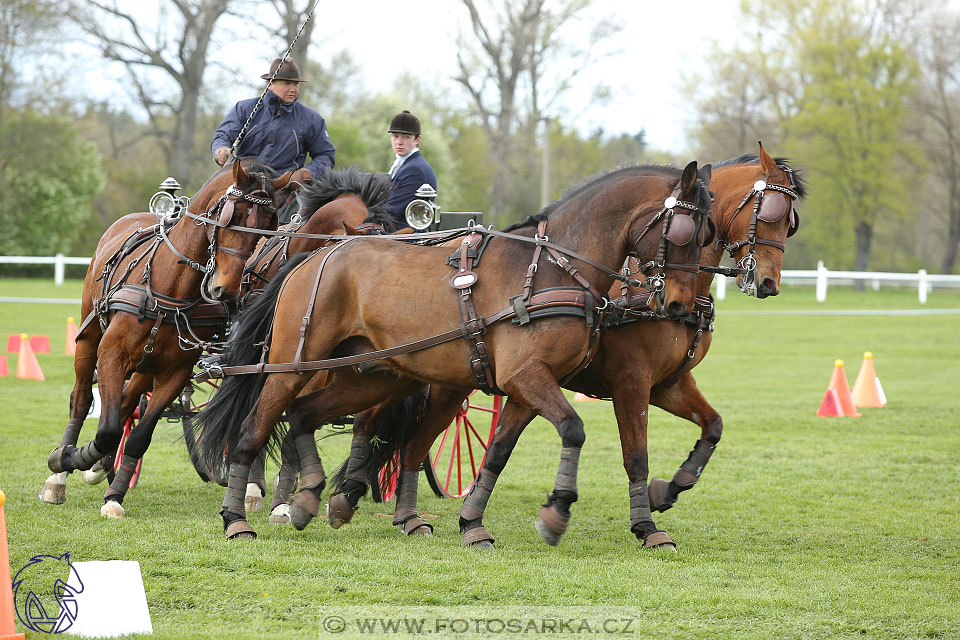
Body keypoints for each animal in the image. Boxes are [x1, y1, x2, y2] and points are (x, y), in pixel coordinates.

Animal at [43, 158, 298, 516]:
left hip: (146, 365)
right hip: (89, 338)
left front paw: (114, 496)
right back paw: (59, 476)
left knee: (126, 405)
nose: (226, 290)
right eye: (232, 216)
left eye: (267, 226)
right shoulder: (111, 353)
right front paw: (73, 458)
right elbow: (106, 427)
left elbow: (139, 434)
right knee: (81, 400)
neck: (170, 287)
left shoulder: (175, 372)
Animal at [193, 160, 712, 540]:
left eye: (708, 236)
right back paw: (238, 517)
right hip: (291, 366)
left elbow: (503, 450)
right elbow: (576, 429)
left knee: (307, 417)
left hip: (373, 376)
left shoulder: (529, 384)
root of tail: (315, 253)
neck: (552, 268)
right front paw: (559, 510)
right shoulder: (538, 377)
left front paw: (476, 521)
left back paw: (309, 500)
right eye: (684, 233)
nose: (678, 303)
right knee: (254, 429)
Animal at [342, 145, 808, 552]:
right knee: (371, 419)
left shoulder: (667, 385)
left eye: (790, 223)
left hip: (445, 381)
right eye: (770, 213)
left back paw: (400, 511)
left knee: (411, 442)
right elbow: (635, 455)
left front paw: (667, 491)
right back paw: (350, 490)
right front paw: (646, 525)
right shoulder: (630, 382)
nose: (768, 282)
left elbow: (713, 426)